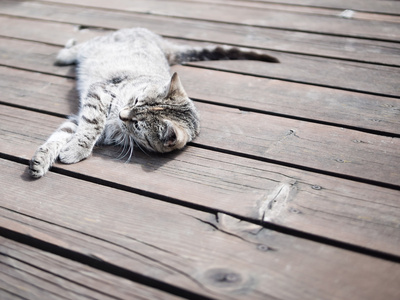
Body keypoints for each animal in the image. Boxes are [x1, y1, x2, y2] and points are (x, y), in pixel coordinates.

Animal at [28, 27, 278, 178]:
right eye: (136, 99)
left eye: (138, 125)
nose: (122, 115)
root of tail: (159, 41)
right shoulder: (99, 94)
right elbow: (86, 128)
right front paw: (59, 153)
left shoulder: (89, 116)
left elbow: (71, 133)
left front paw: (62, 153)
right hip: (100, 44)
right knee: (84, 44)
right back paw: (66, 52)